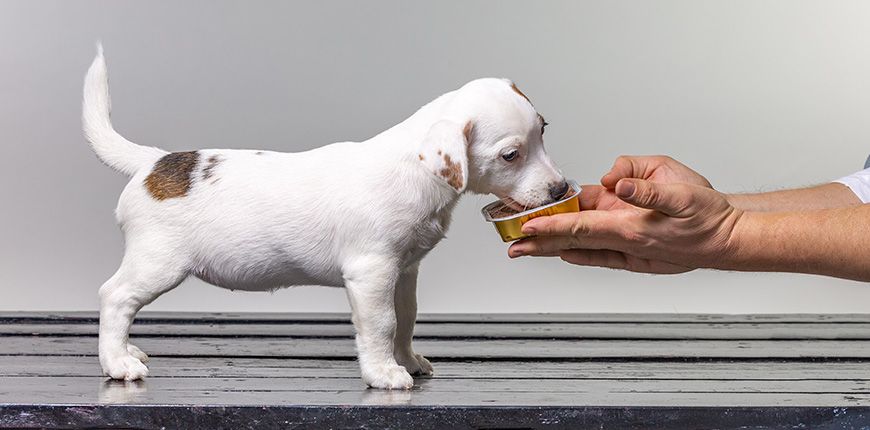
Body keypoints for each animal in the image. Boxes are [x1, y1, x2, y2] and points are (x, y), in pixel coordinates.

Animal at [85, 46, 568, 390]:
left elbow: (406, 318)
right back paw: (117, 362)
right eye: (510, 155)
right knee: (116, 297)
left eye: (544, 130)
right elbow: (382, 324)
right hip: (157, 263)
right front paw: (385, 374)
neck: (415, 171)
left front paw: (407, 360)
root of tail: (155, 163)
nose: (561, 190)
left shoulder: (404, 271)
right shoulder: (372, 273)